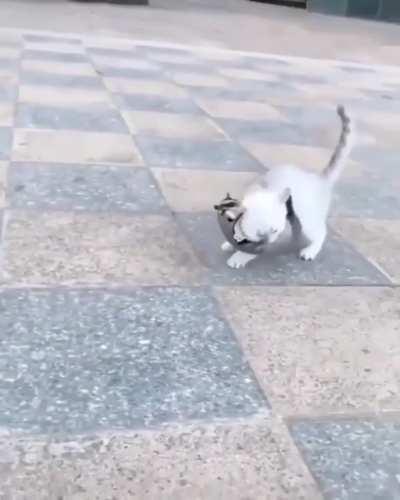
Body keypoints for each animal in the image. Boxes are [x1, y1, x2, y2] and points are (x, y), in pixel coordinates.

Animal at [225, 106, 354, 270]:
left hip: (307, 219)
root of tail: (319, 179)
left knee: (320, 233)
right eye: (260, 233)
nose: (267, 242)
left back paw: (310, 250)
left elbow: (249, 251)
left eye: (275, 230)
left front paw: (239, 257)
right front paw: (232, 241)